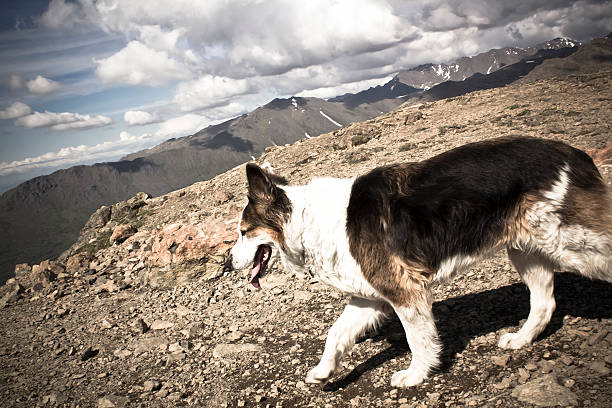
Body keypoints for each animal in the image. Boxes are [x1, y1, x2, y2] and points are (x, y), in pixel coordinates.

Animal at [227, 135, 608, 388]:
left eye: (244, 232)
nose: (227, 262)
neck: (307, 222)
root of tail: (575, 154)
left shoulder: (404, 292)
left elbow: (417, 339)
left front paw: (415, 374)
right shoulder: (370, 296)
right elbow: (335, 333)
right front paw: (323, 371)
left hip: (573, 242)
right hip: (524, 248)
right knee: (544, 302)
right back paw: (521, 339)